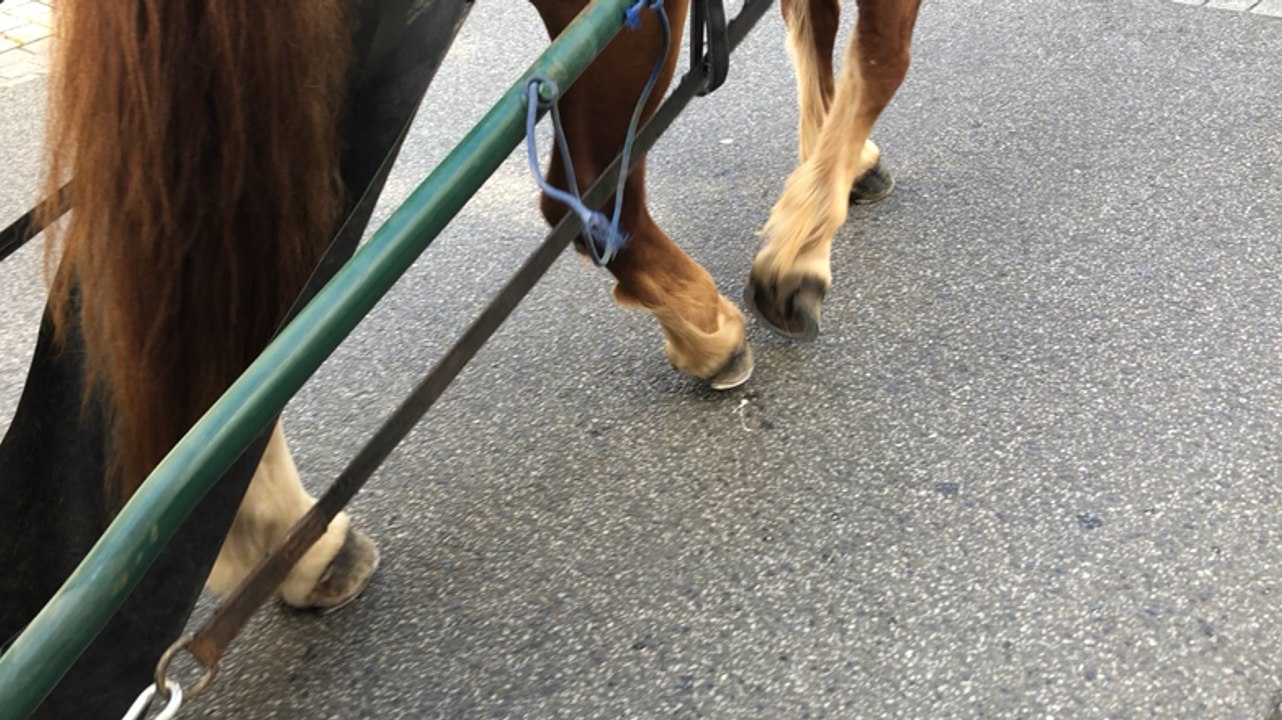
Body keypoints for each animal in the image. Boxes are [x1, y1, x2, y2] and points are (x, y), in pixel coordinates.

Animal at [0, 0, 920, 715]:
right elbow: (882, 53)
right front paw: (797, 254)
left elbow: (822, 29)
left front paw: (836, 170)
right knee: (589, 190)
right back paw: (707, 330)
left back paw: (288, 543)